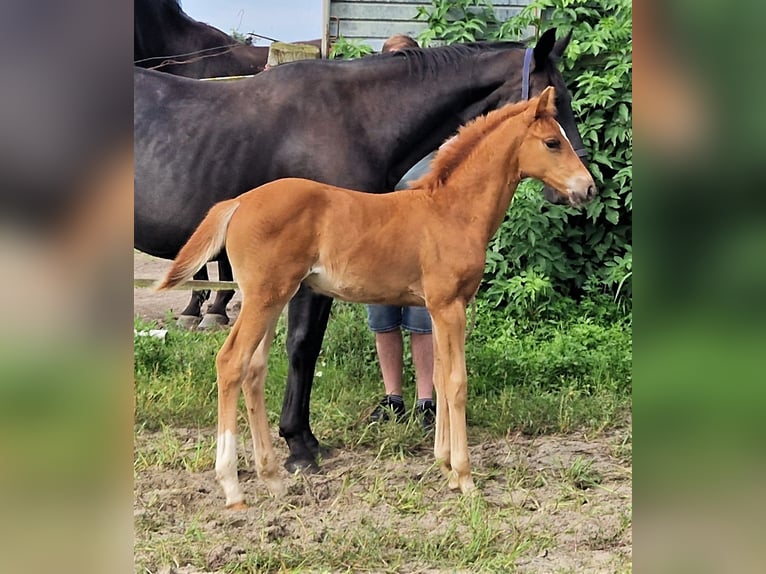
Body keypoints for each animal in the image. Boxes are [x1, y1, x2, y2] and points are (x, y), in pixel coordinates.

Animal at [135, 25, 592, 476]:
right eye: (557, 100)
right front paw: (299, 445)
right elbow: (303, 346)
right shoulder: (314, 281)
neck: (356, 117)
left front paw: (302, 440)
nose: (587, 185)